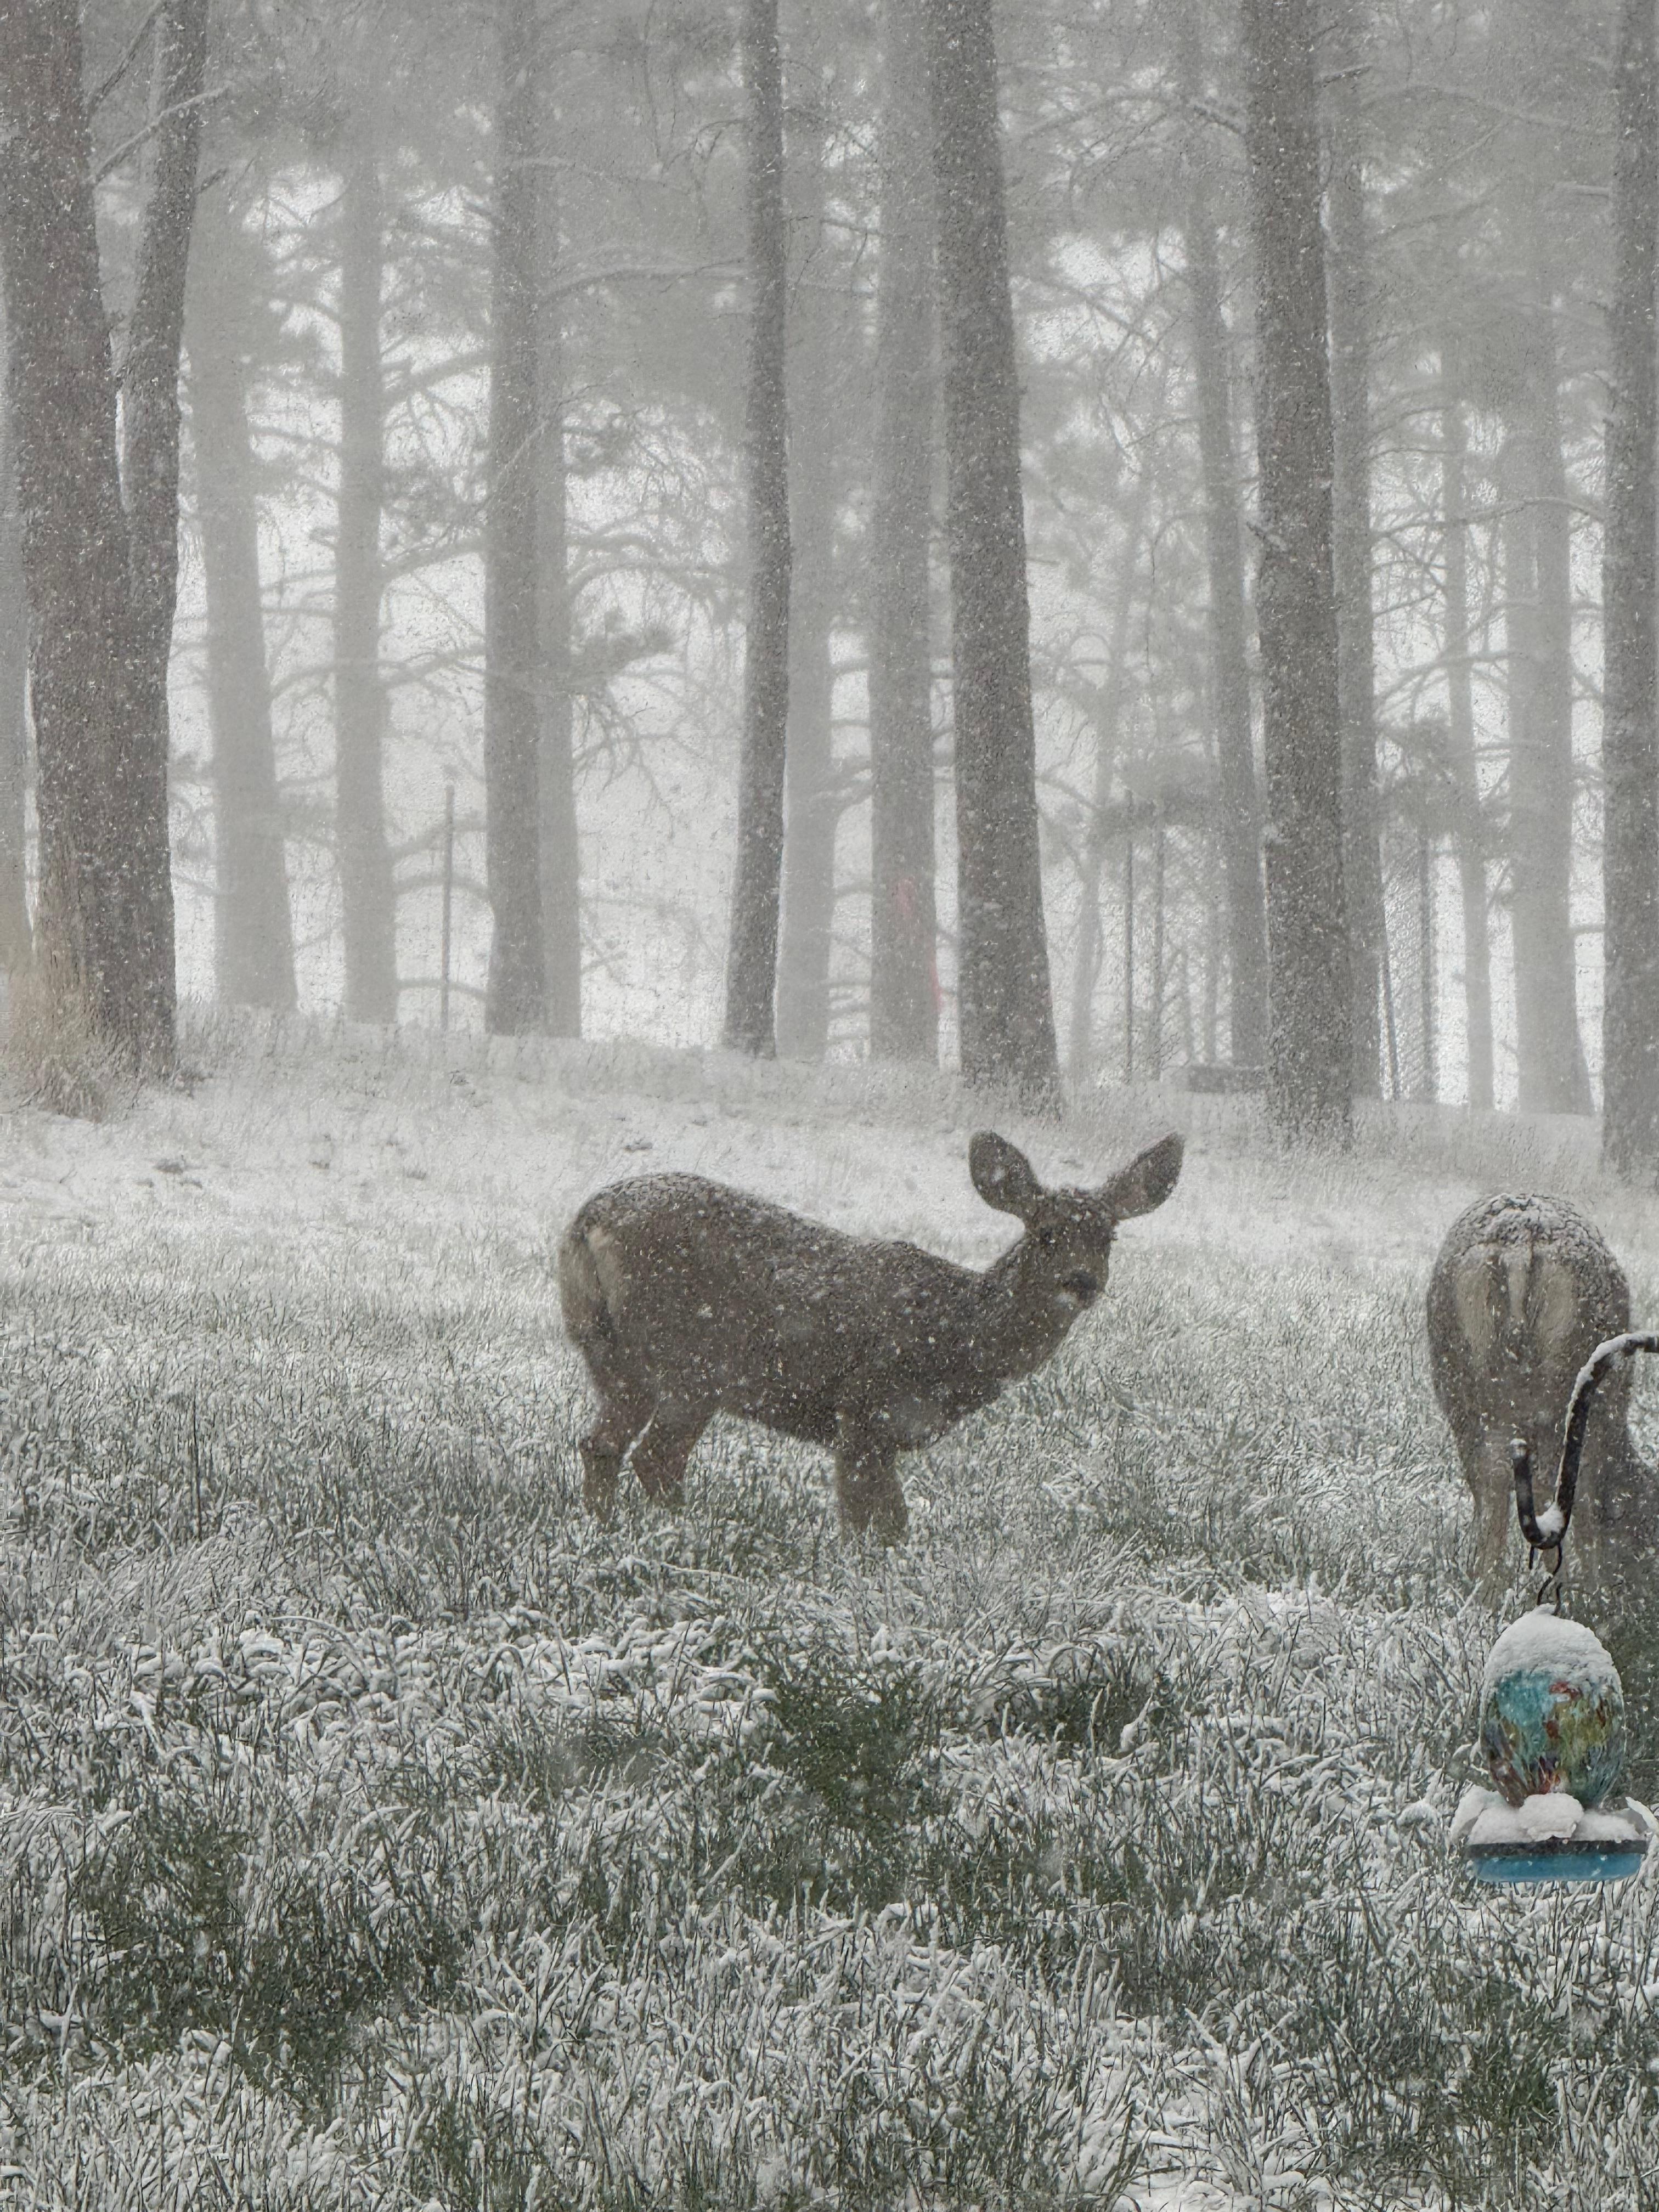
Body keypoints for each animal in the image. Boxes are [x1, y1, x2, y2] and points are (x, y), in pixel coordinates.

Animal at [558, 1128, 1183, 1541]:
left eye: (1107, 1237)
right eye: (1045, 1233)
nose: (1082, 1281)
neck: (956, 1340)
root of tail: (588, 1222)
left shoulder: (890, 1433)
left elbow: (896, 1523)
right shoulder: (864, 1407)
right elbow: (863, 1522)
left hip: (610, 1352)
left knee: (609, 1447)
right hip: (688, 1361)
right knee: (646, 1455)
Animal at [1426, 1191, 1659, 1605]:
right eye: (1647, 1536)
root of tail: (1519, 1246)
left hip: (1462, 1385)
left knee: (1491, 1479)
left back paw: (1485, 1594)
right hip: (1561, 1385)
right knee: (1560, 1484)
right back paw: (1569, 1591)